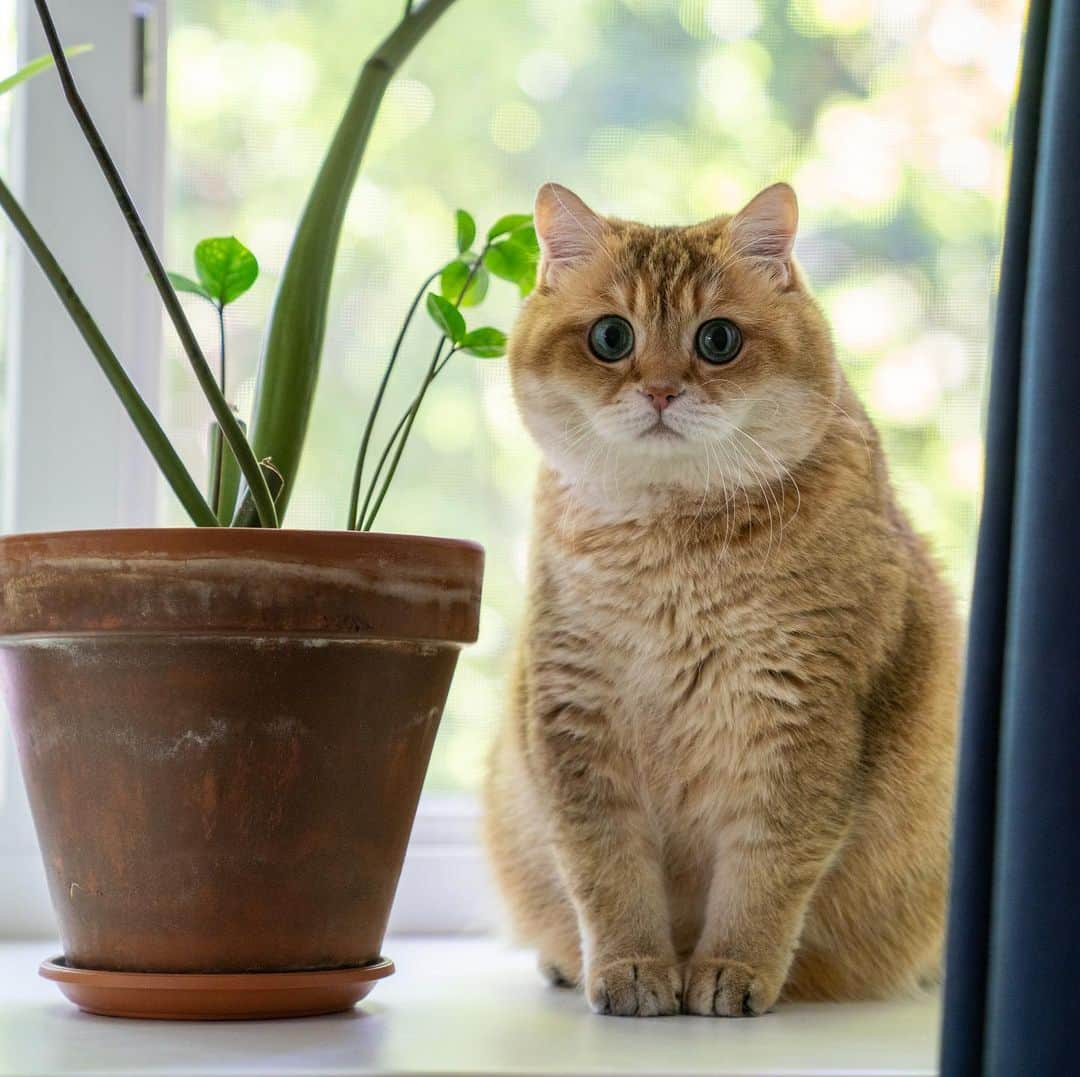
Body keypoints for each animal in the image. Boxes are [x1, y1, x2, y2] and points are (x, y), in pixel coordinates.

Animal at [481, 180, 963, 1011]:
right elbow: (605, 872)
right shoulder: (577, 718)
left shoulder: (798, 723)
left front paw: (731, 969)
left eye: (718, 340)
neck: (668, 541)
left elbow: (765, 871)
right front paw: (632, 967)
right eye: (611, 336)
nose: (660, 389)